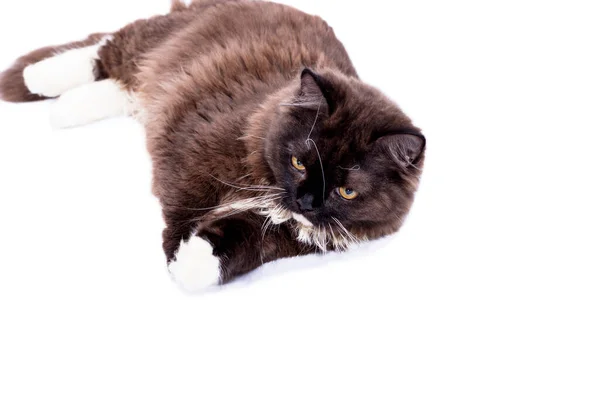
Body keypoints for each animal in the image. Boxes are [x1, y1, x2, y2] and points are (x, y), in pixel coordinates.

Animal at [0, 0, 426, 294]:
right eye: (299, 164)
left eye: (346, 191)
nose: (306, 203)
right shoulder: (193, 149)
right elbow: (186, 206)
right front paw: (176, 254)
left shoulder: (287, 236)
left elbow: (243, 244)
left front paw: (192, 263)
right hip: (157, 40)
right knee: (106, 51)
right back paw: (39, 78)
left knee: (123, 88)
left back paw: (65, 110)